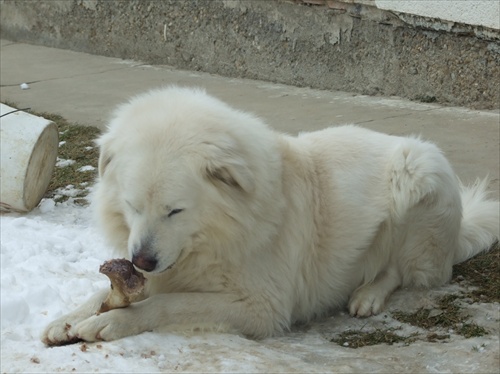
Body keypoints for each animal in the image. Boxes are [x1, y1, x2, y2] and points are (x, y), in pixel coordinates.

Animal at [42, 87, 496, 344]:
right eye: (133, 206)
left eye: (175, 210)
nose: (142, 261)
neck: (224, 230)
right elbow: (104, 294)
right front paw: (67, 319)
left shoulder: (261, 307)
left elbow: (168, 304)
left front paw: (113, 323)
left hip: (416, 171)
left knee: (400, 271)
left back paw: (368, 294)